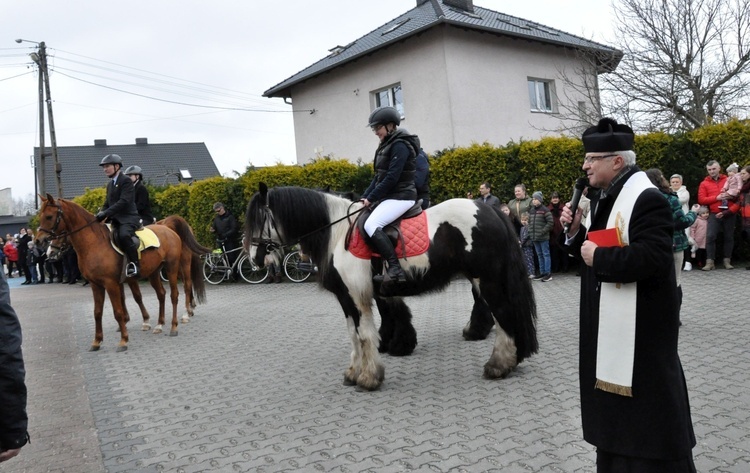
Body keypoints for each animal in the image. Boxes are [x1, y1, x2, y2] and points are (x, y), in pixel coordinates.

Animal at [37, 193, 187, 350]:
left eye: (49, 217)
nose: (39, 241)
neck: (94, 243)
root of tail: (167, 228)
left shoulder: (111, 284)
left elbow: (118, 311)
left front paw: (124, 340)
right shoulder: (96, 285)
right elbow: (97, 312)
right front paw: (97, 341)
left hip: (171, 268)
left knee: (174, 295)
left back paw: (174, 327)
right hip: (154, 273)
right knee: (161, 294)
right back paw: (159, 325)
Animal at [248, 183, 540, 390]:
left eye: (261, 218)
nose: (255, 259)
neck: (339, 234)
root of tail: (490, 210)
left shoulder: (358, 297)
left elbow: (365, 335)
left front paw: (369, 377)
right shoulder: (346, 298)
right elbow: (353, 334)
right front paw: (354, 373)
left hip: (486, 279)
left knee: (503, 316)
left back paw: (498, 365)